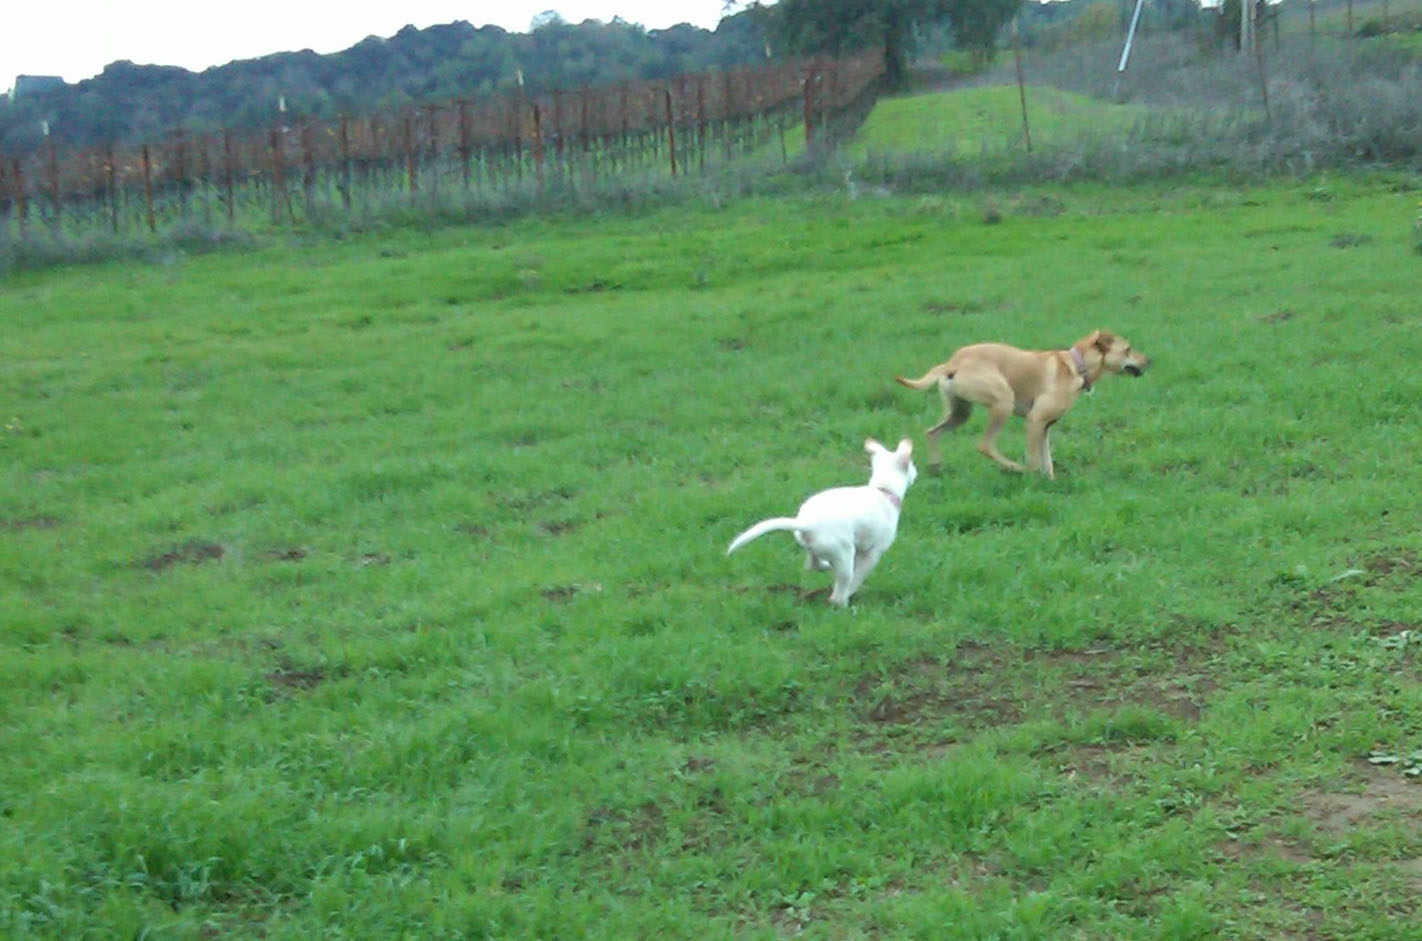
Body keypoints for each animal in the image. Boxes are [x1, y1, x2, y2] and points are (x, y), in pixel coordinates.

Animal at [728, 437, 915, 608]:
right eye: (912, 465)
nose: (916, 473)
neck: (883, 490)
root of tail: (806, 523)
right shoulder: (873, 553)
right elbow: (857, 577)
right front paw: (852, 591)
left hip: (819, 550)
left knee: (813, 566)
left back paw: (827, 568)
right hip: (844, 553)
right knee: (839, 592)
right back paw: (843, 605)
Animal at [893, 331, 1148, 480]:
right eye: (1127, 349)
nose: (1149, 361)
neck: (1077, 366)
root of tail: (952, 363)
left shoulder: (1045, 427)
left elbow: (1047, 460)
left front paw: (1050, 482)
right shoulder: (1035, 421)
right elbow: (1034, 460)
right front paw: (1032, 480)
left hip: (960, 413)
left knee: (932, 432)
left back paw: (936, 467)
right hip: (1003, 402)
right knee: (985, 446)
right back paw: (1013, 468)